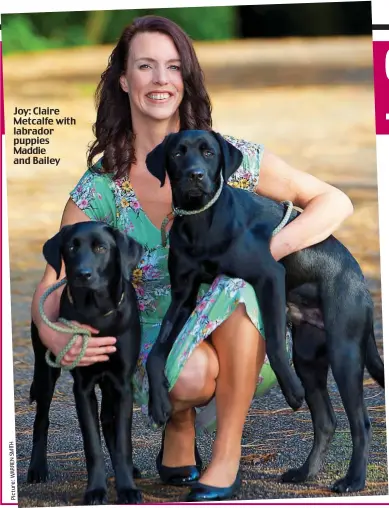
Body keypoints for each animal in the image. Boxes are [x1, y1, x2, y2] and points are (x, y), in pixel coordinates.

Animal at [26, 221, 142, 504]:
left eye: (101, 248)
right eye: (71, 247)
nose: (82, 274)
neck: (96, 312)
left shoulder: (122, 383)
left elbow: (123, 441)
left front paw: (127, 487)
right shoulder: (83, 387)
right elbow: (92, 444)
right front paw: (96, 490)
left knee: (109, 421)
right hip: (45, 372)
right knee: (41, 419)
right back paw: (37, 468)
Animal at [144, 130, 384, 492]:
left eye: (209, 152)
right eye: (177, 153)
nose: (195, 176)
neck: (201, 221)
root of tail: (360, 281)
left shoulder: (269, 275)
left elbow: (272, 338)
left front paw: (290, 390)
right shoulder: (182, 297)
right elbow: (156, 354)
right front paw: (158, 400)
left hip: (344, 352)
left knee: (362, 423)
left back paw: (353, 479)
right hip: (309, 356)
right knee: (326, 421)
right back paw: (305, 473)